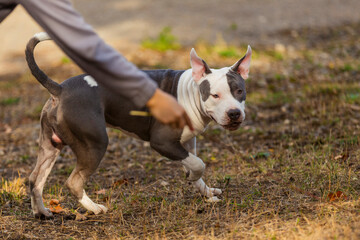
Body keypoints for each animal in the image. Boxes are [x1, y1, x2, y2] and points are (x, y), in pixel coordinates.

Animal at [25, 31, 252, 218]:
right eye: (215, 95)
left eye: (239, 91)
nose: (234, 113)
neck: (190, 91)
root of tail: (60, 89)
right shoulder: (162, 142)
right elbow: (198, 164)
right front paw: (195, 178)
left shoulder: (188, 142)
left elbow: (193, 162)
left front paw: (206, 192)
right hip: (94, 144)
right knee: (73, 181)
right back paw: (95, 208)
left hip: (50, 146)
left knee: (35, 179)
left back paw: (41, 212)